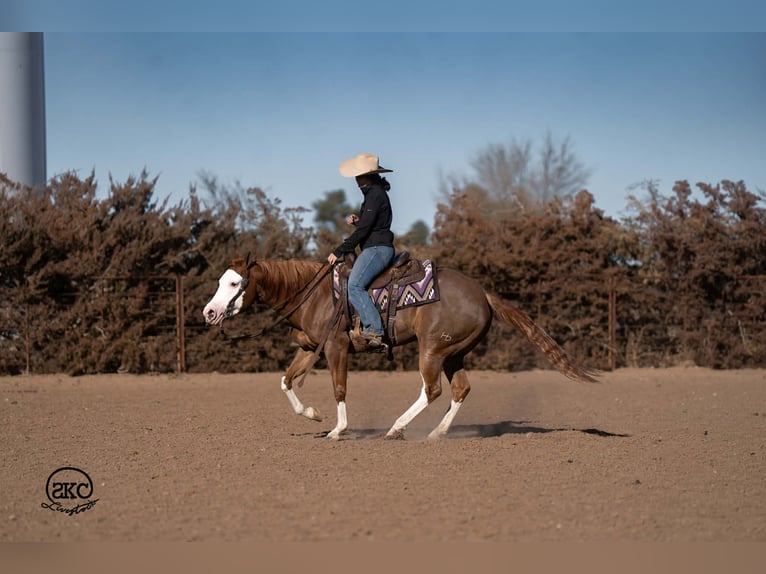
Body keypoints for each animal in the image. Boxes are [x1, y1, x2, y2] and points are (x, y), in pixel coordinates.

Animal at [202, 256, 597, 440]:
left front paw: (337, 429)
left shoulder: (336, 349)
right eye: (221, 281)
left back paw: (396, 428)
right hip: (455, 353)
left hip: (432, 350)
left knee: (431, 389)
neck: (314, 295)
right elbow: (285, 381)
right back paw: (437, 433)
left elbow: (339, 388)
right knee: (460, 389)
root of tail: (483, 293)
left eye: (235, 283)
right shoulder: (309, 349)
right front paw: (313, 414)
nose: (209, 312)